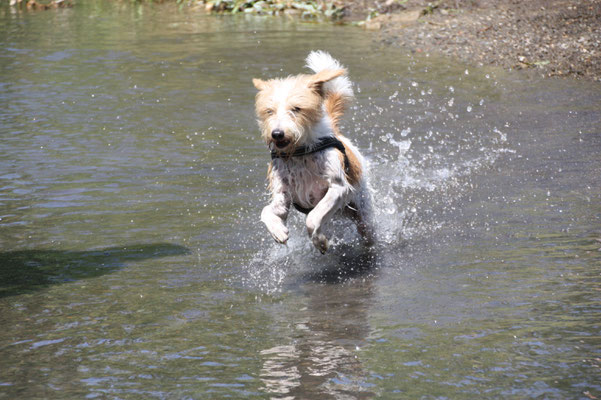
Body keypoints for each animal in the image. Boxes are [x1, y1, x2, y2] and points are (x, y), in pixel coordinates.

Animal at [253, 50, 376, 253]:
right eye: (269, 111)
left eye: (296, 109)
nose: (277, 134)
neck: (299, 152)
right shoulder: (282, 196)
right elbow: (266, 212)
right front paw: (278, 231)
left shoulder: (338, 188)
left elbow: (313, 218)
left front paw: (320, 241)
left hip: (362, 214)